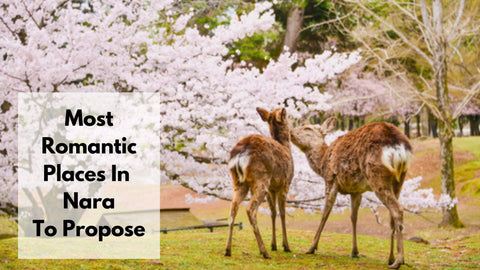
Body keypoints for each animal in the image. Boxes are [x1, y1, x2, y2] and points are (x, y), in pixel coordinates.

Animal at [224, 106, 292, 258]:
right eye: (285, 115)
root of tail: (240, 154)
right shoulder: (284, 184)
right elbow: (282, 213)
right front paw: (285, 246)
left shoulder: (272, 188)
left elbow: (273, 212)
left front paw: (274, 245)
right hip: (261, 179)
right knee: (250, 209)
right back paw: (264, 251)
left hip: (238, 182)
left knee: (232, 209)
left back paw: (227, 250)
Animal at [290, 118, 414, 270]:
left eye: (307, 128)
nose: (290, 132)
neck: (322, 163)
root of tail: (399, 148)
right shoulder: (356, 190)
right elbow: (353, 217)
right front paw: (354, 251)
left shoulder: (331, 179)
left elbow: (326, 212)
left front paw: (311, 247)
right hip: (399, 180)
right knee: (392, 216)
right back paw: (391, 258)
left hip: (377, 175)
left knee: (397, 209)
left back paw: (399, 260)